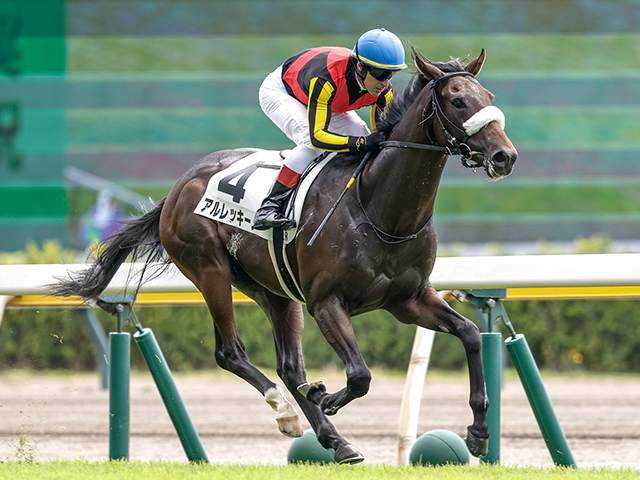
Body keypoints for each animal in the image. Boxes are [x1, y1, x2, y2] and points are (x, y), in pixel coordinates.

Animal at [52, 47, 516, 464]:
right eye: (458, 101)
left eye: (489, 96)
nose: (504, 156)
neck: (379, 207)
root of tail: (179, 186)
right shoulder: (326, 302)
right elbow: (360, 375)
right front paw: (326, 397)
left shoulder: (408, 299)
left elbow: (470, 334)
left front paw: (478, 433)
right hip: (210, 269)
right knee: (231, 353)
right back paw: (288, 412)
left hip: (273, 289)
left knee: (290, 366)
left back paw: (336, 441)